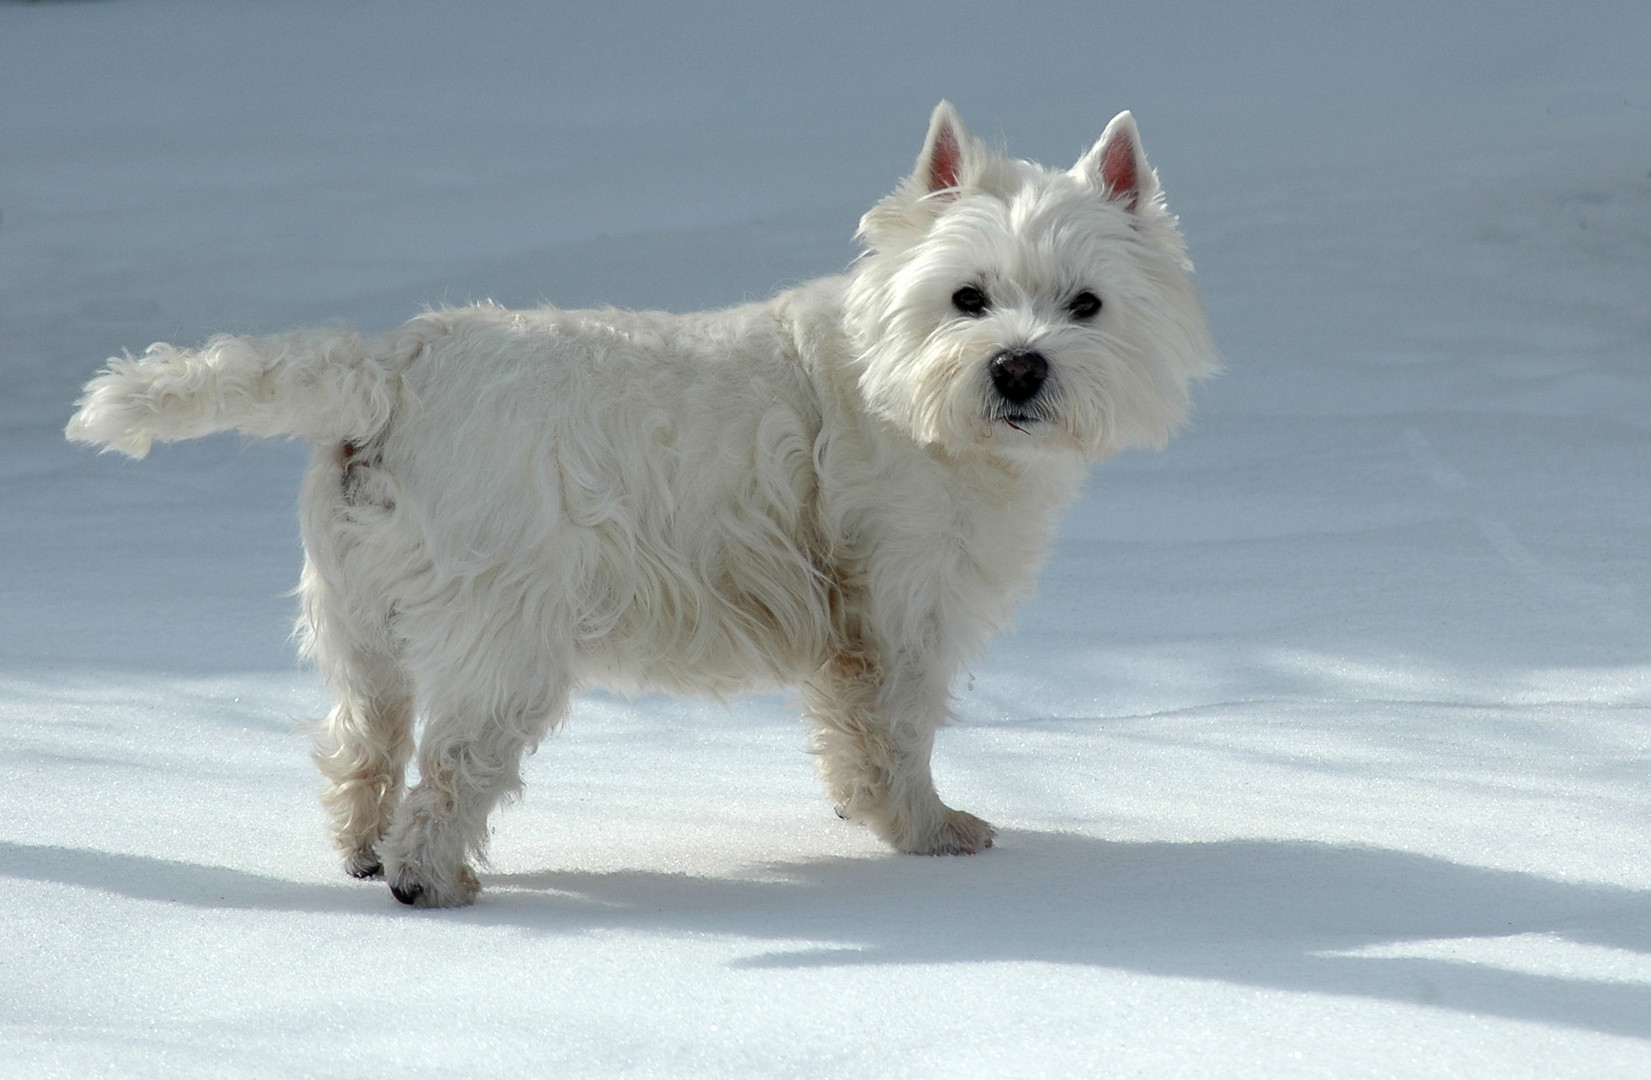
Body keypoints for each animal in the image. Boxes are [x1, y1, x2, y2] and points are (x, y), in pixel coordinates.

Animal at [70, 105, 1221, 911]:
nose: (1020, 369)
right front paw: (932, 834)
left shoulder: (852, 621)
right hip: (507, 635)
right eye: (968, 297)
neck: (907, 396)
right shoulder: (898, 607)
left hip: (355, 620)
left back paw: (362, 853)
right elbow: (896, 733)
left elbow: (849, 739)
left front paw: (860, 814)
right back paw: (432, 882)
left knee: (363, 742)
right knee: (453, 769)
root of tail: (392, 371)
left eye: (1086, 305)